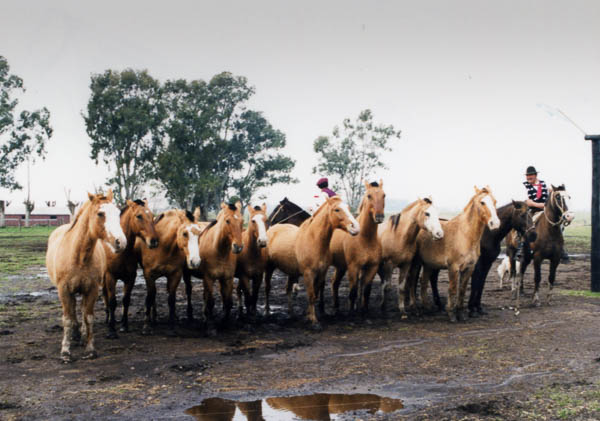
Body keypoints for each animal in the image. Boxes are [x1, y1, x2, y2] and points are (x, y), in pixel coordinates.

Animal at [46, 190, 127, 360]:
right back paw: (75, 335)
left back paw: (81, 336)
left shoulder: (92, 290)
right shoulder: (64, 290)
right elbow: (67, 319)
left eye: (118, 213)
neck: (78, 256)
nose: (121, 242)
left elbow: (88, 317)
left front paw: (90, 349)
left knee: (82, 311)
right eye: (100, 213)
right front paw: (65, 352)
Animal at [101, 199, 158, 336]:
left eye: (152, 215)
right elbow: (112, 302)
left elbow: (126, 300)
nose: (154, 241)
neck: (120, 251)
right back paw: (108, 319)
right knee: (105, 296)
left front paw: (124, 325)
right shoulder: (111, 277)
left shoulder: (131, 278)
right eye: (139, 216)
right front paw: (111, 330)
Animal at [264, 195, 358, 330]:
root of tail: (272, 230)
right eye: (337, 209)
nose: (355, 227)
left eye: (348, 208)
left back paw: (291, 313)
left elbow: (315, 294)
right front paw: (314, 321)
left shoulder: (321, 273)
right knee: (267, 288)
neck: (314, 240)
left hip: (291, 272)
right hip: (269, 267)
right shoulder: (308, 274)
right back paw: (267, 312)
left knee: (287, 289)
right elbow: (311, 295)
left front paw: (308, 315)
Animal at [328, 180, 384, 316]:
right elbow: (353, 291)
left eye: (384, 195)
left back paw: (336, 307)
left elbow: (366, 290)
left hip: (340, 266)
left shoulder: (372, 267)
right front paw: (351, 313)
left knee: (334, 282)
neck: (365, 238)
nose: (379, 217)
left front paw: (364, 310)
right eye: (369, 196)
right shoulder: (354, 267)